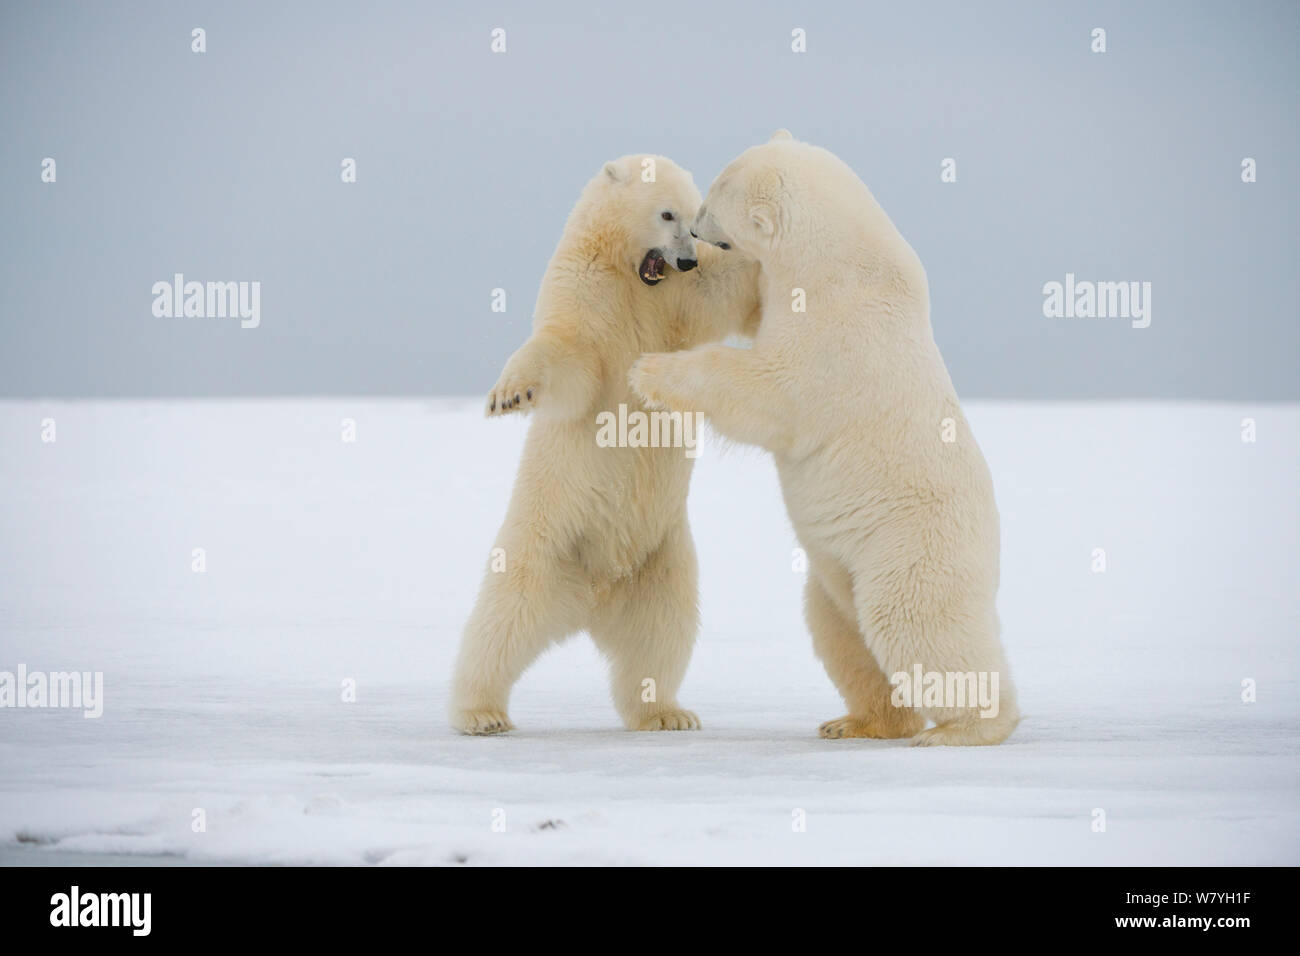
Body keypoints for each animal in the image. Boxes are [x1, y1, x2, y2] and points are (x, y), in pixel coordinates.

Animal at [454, 153, 764, 738]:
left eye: (694, 218)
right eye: (666, 213)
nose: (685, 259)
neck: (634, 279)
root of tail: (594, 596)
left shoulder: (683, 302)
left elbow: (730, 287)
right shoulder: (583, 294)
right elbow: (567, 359)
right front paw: (510, 394)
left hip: (662, 560)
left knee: (661, 637)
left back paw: (665, 712)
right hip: (545, 544)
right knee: (502, 622)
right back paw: (480, 712)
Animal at [634, 132, 1019, 749]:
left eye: (716, 195)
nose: (694, 227)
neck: (844, 261)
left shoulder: (836, 337)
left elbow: (768, 391)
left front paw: (650, 371)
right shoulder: (785, 287)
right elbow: (742, 302)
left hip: (908, 548)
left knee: (915, 624)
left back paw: (962, 728)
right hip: (836, 574)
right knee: (841, 632)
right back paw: (858, 722)